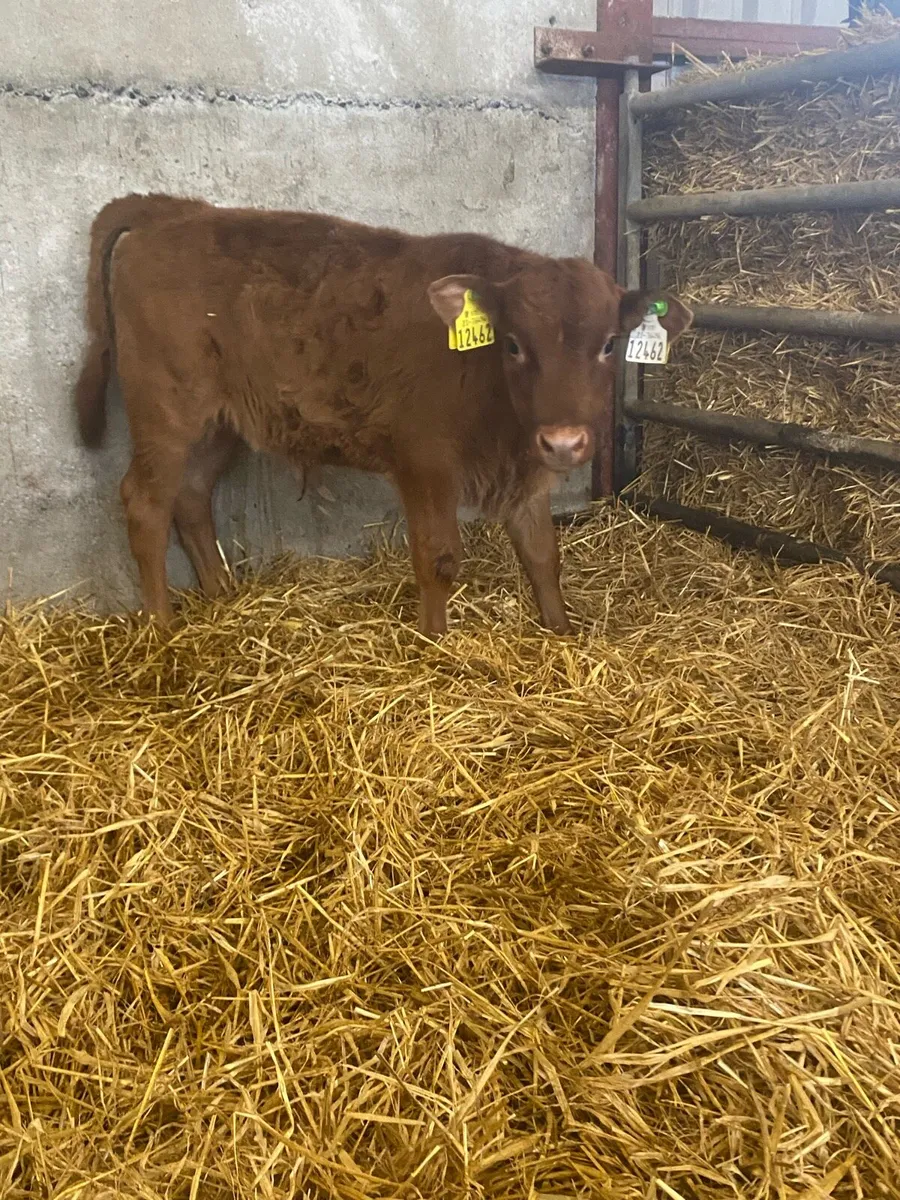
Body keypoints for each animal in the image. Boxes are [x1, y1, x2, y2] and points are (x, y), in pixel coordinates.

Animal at [74, 194, 692, 635]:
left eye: (610, 344)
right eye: (514, 345)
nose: (563, 442)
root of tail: (178, 211)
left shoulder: (524, 469)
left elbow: (542, 554)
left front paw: (560, 632)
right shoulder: (424, 462)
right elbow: (439, 556)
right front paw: (435, 642)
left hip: (220, 422)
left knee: (191, 495)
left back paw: (221, 592)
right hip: (166, 411)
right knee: (146, 503)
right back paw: (160, 628)